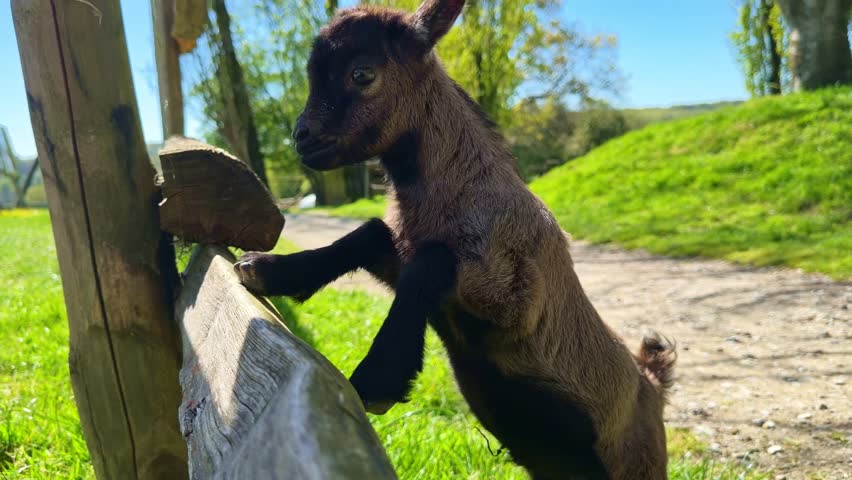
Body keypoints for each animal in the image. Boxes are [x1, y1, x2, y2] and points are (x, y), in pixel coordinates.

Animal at [234, 0, 676, 478]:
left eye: (362, 73)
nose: (301, 137)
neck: (462, 193)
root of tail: (654, 385)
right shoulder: (406, 260)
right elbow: (371, 234)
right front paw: (267, 270)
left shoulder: (514, 302)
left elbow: (433, 261)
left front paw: (378, 379)